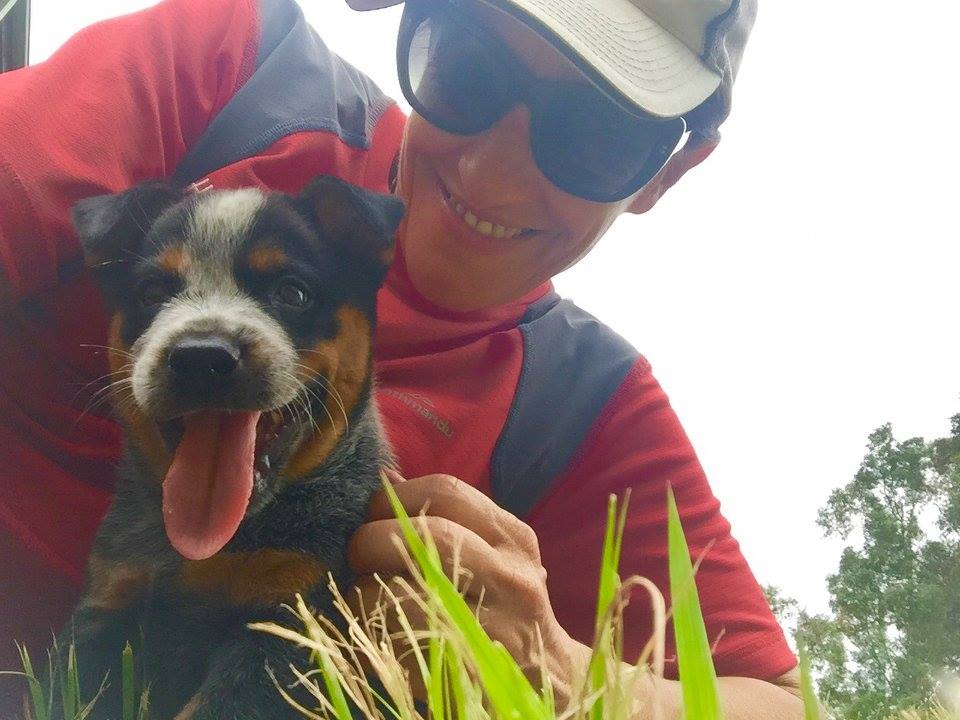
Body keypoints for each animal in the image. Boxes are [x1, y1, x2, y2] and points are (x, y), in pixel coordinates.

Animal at [60, 176, 404, 720]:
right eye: (151, 292)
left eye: (292, 292)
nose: (202, 357)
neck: (201, 550)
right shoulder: (110, 600)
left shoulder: (288, 625)